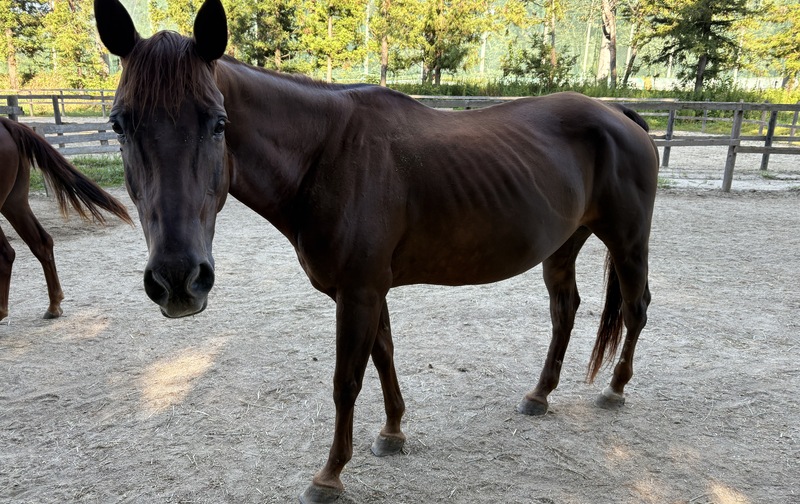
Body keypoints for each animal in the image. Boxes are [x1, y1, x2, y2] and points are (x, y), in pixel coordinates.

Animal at [94, 0, 659, 501]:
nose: (177, 280)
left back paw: (615, 388)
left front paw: (329, 476)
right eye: (119, 124)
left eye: (218, 122)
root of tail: (618, 114)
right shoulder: (369, 289)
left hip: (628, 241)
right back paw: (539, 394)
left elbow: (347, 380)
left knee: (636, 308)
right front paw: (393, 433)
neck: (327, 155)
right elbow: (384, 354)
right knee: (565, 312)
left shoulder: (359, 292)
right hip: (563, 246)